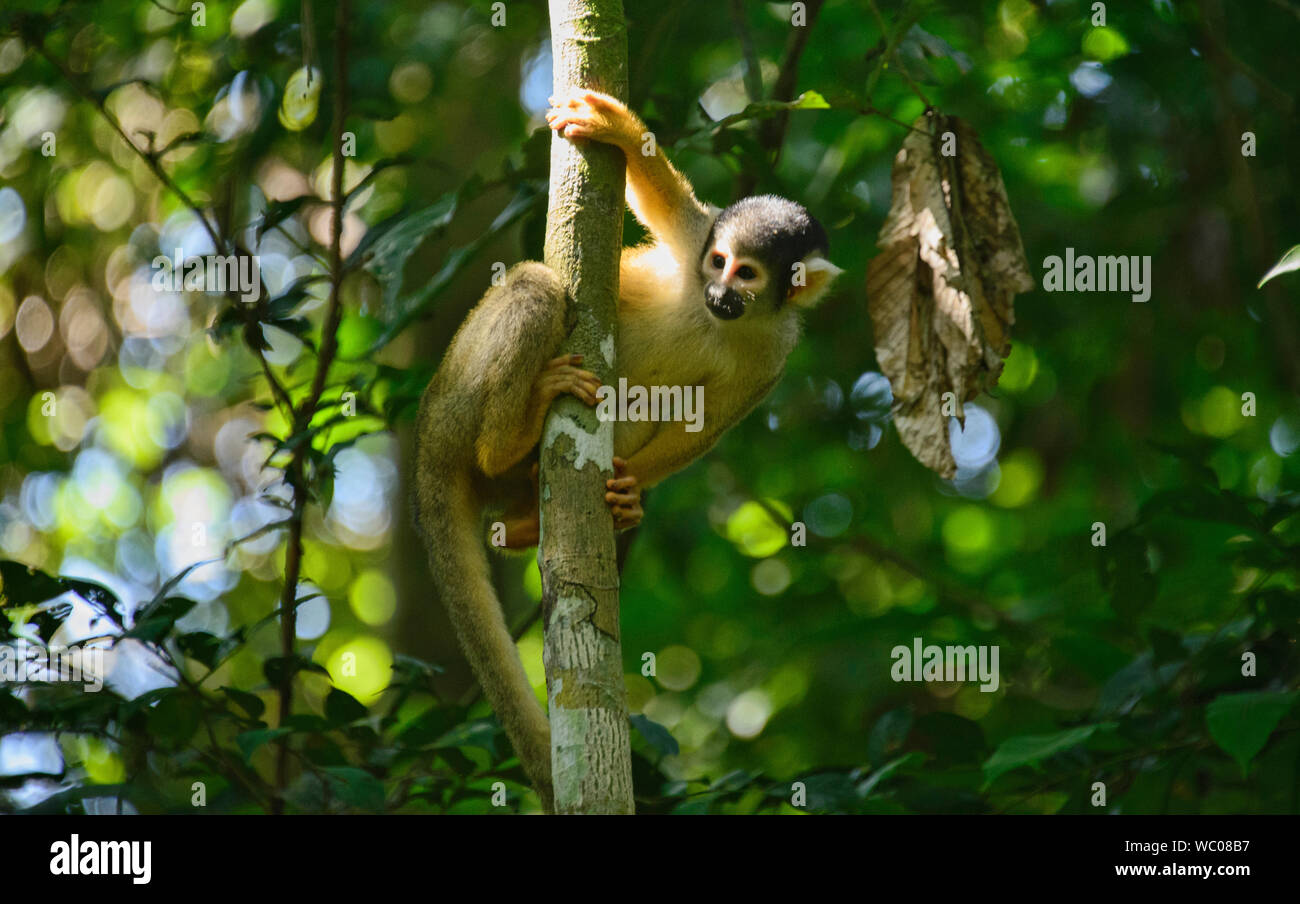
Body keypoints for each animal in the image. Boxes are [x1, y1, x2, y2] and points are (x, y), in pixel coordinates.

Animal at [416, 90, 842, 811]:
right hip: (458, 397)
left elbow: (707, 424)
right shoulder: (694, 245)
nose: (719, 293)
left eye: (750, 275)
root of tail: (426, 427)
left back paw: (527, 521)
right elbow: (669, 207)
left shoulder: (775, 354)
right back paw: (507, 440)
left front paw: (631, 492)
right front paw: (616, 129)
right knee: (534, 286)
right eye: (720, 262)